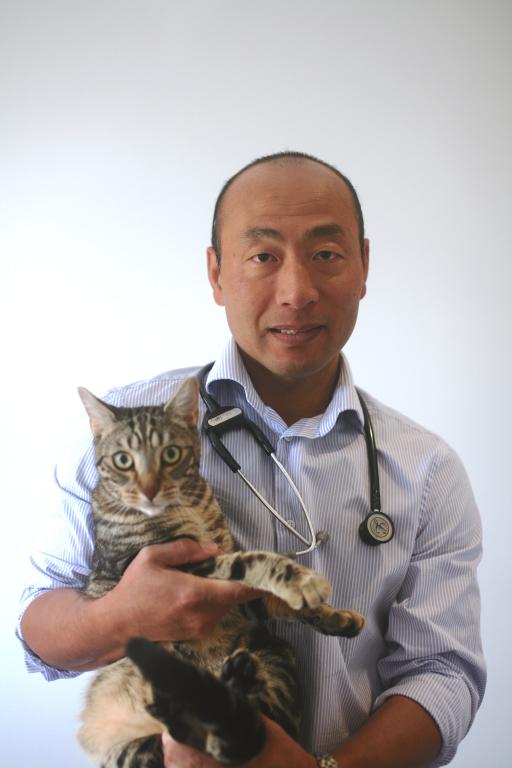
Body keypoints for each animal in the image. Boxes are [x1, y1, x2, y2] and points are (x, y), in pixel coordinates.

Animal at [77, 376, 365, 767]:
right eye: (123, 460)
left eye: (171, 454)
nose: (149, 491)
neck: (188, 506)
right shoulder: (183, 568)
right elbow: (254, 562)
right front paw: (301, 579)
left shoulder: (235, 595)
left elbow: (272, 599)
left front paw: (334, 616)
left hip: (273, 652)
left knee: (260, 718)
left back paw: (236, 681)